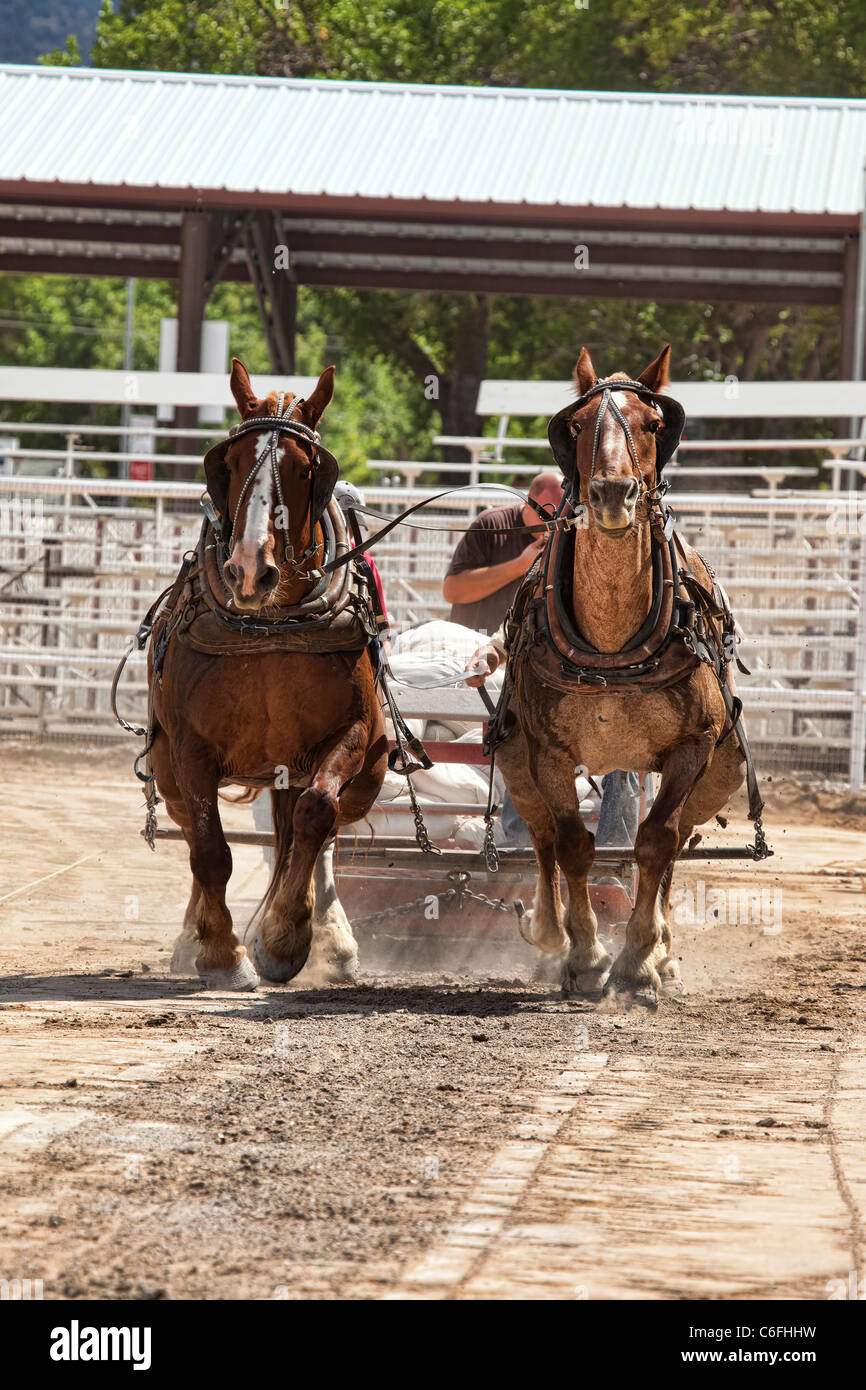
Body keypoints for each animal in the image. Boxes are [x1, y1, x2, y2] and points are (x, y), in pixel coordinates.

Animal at [148, 358, 386, 989]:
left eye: (306, 469)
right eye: (228, 463)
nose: (250, 571)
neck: (271, 625)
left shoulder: (352, 736)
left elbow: (316, 814)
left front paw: (284, 937)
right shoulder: (190, 748)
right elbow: (209, 850)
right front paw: (221, 954)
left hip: (368, 773)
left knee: (324, 831)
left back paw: (333, 940)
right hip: (166, 772)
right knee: (191, 831)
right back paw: (194, 937)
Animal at [478, 341, 750, 1006]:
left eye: (652, 424)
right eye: (577, 425)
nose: (611, 493)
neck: (611, 646)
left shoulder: (691, 747)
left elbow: (656, 841)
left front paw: (638, 961)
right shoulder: (547, 753)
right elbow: (573, 845)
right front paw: (587, 956)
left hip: (719, 772)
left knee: (677, 840)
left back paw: (663, 951)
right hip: (517, 761)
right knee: (542, 837)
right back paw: (550, 936)